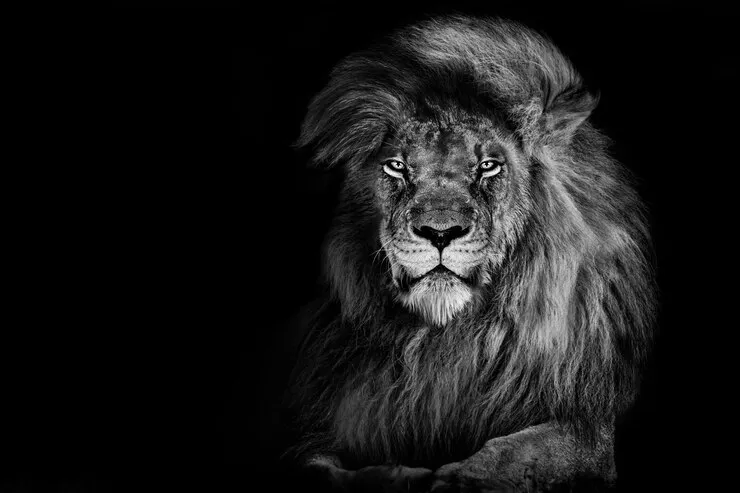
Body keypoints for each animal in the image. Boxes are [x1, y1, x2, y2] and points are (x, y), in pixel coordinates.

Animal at [284, 15, 656, 493]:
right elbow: (318, 465)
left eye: (489, 166)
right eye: (397, 166)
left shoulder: (589, 426)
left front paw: (460, 479)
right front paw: (393, 476)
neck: (446, 339)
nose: (439, 232)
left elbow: (520, 451)